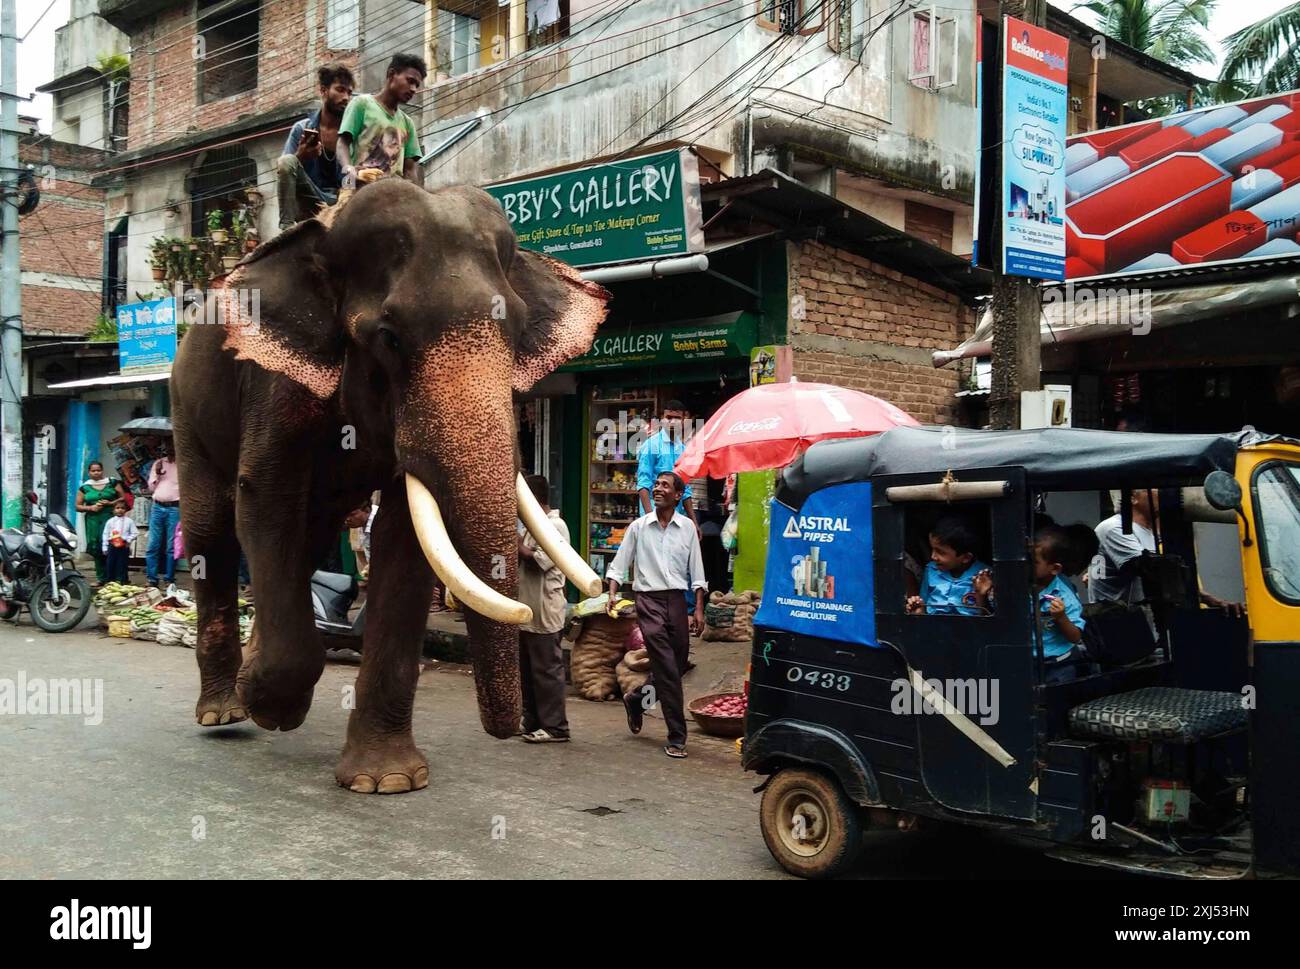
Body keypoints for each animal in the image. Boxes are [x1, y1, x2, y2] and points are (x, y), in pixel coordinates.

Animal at [171, 179, 608, 796]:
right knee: (214, 532)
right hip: (186, 403)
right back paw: (225, 712)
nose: (512, 729)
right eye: (389, 338)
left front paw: (388, 782)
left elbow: (406, 541)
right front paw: (272, 704)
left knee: (308, 541)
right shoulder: (273, 382)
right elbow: (266, 498)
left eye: (519, 332)